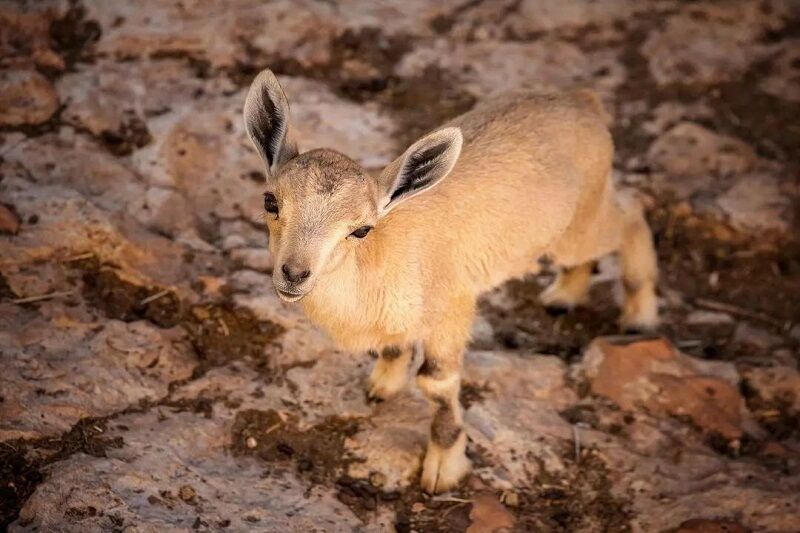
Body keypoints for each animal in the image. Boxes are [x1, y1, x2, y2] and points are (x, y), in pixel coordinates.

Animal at [242, 68, 656, 492]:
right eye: (270, 201)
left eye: (361, 230)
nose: (294, 273)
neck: (378, 260)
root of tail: (584, 102)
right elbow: (396, 347)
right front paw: (383, 386)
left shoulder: (454, 309)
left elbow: (436, 384)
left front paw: (443, 467)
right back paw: (565, 295)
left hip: (580, 224)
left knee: (632, 212)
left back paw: (640, 313)